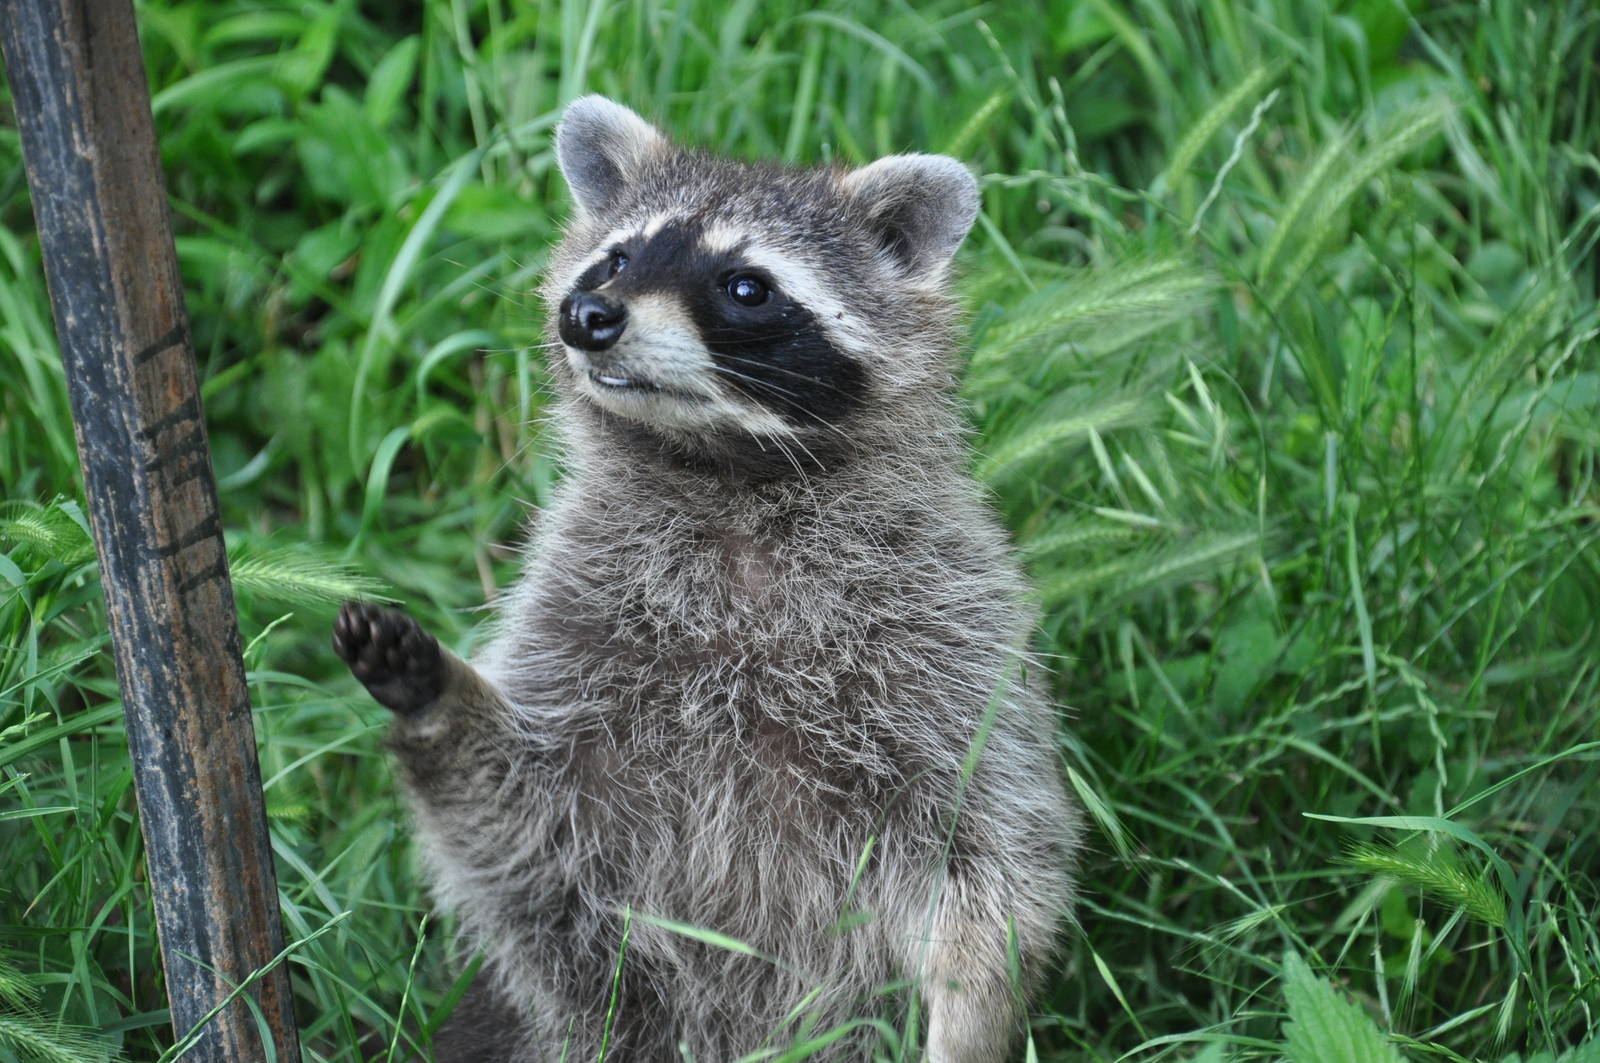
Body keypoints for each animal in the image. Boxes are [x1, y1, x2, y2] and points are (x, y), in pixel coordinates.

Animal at [333, 96, 1081, 1062]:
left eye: (745, 285)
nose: (587, 312)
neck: (726, 473)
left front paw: (971, 1013)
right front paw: (438, 698)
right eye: (618, 257)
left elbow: (993, 858)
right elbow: (518, 817)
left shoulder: (948, 630)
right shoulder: (580, 611)